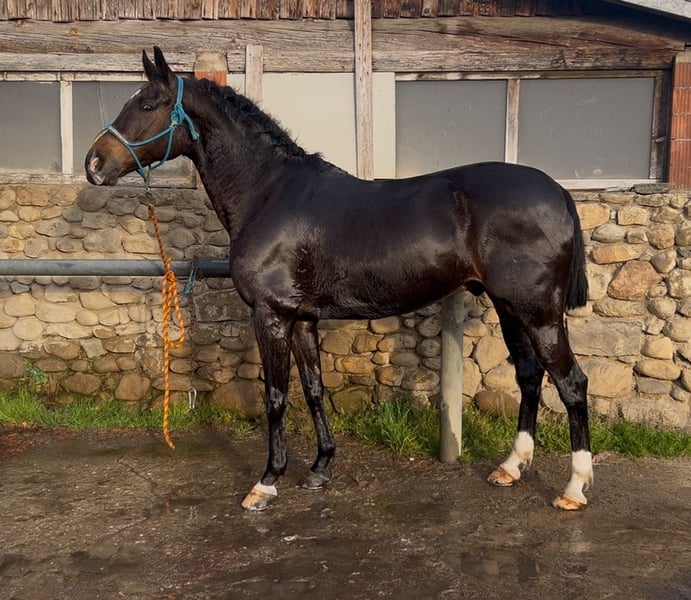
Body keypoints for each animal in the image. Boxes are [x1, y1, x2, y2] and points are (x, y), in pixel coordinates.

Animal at [85, 47, 593, 512]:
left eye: (147, 104)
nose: (94, 163)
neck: (270, 193)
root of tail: (558, 192)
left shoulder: (271, 315)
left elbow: (275, 395)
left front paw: (267, 482)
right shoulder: (302, 318)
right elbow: (313, 389)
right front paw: (320, 467)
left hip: (539, 313)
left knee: (571, 383)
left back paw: (573, 489)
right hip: (511, 308)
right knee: (530, 376)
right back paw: (510, 467)